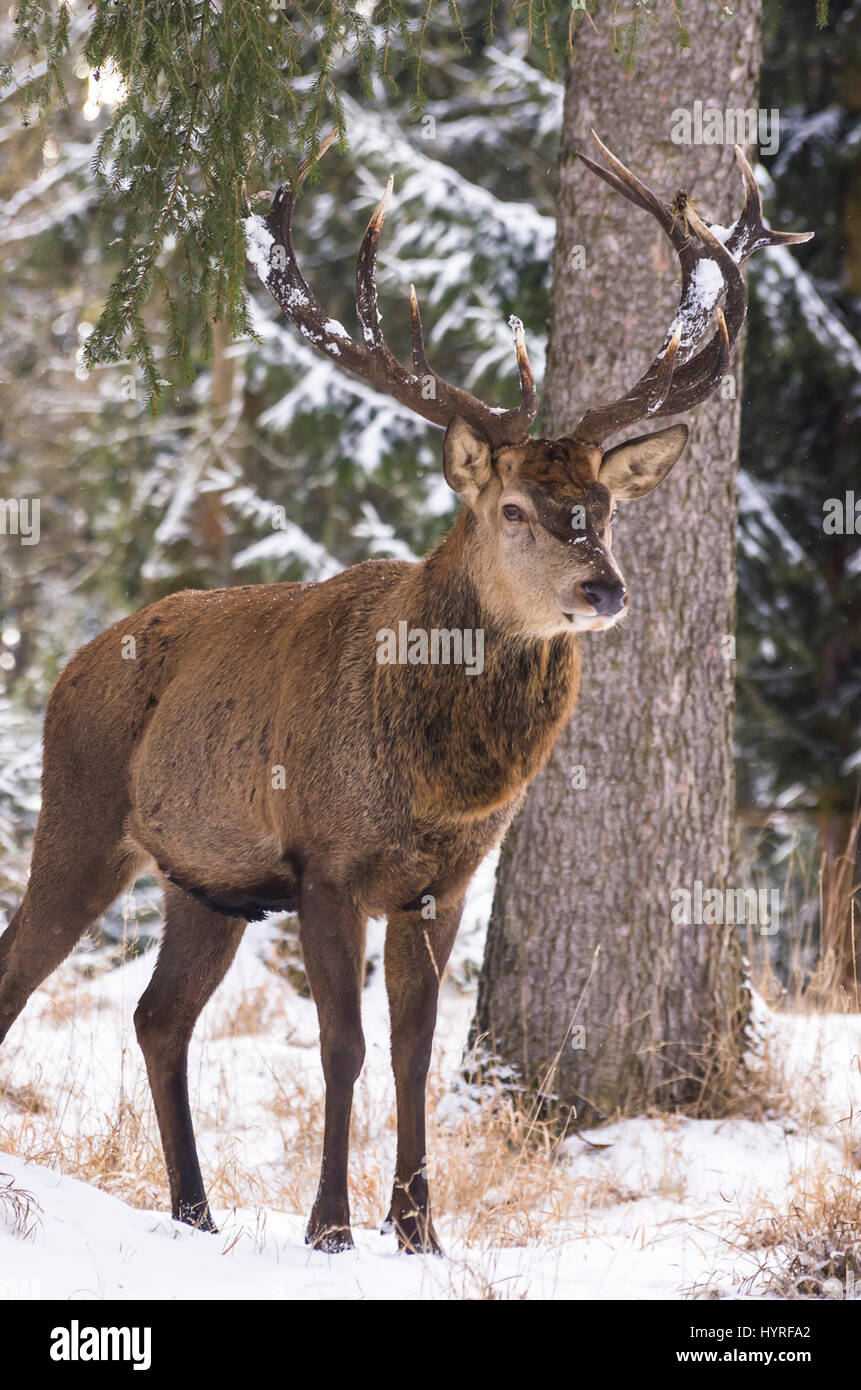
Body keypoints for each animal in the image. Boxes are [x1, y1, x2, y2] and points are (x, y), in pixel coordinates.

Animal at [0, 135, 812, 1256]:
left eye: (603, 506)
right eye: (513, 508)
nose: (604, 589)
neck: (437, 783)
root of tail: (74, 663)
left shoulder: (446, 881)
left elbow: (415, 1046)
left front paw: (420, 1228)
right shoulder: (324, 861)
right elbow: (340, 1044)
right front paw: (331, 1229)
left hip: (205, 881)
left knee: (159, 1015)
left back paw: (196, 1214)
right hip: (79, 817)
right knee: (19, 971)